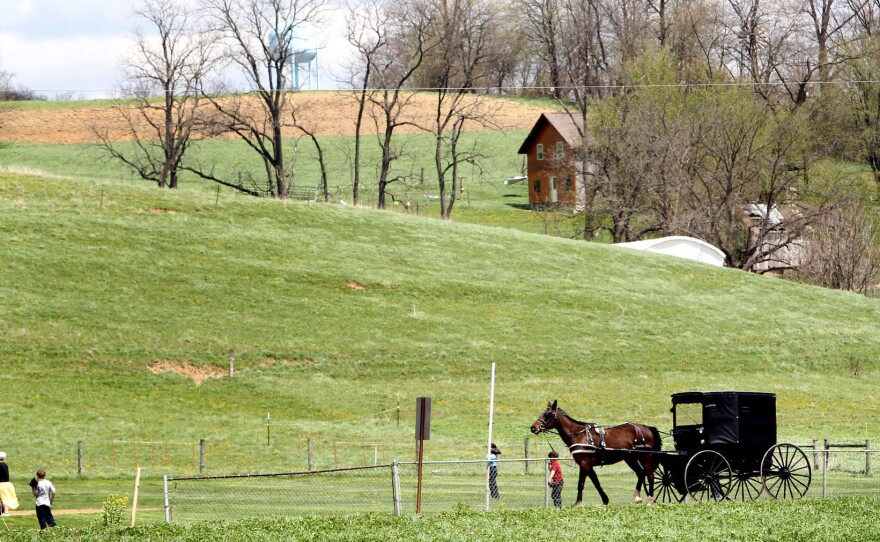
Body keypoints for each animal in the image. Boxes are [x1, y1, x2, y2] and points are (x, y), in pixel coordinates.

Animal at [528, 402, 660, 508]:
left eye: (548, 414)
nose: (533, 428)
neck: (579, 435)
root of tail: (646, 427)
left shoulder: (584, 465)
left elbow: (581, 484)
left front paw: (578, 503)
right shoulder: (588, 466)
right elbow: (596, 483)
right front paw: (605, 500)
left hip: (644, 457)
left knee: (650, 475)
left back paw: (650, 500)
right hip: (630, 458)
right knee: (640, 473)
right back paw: (638, 498)